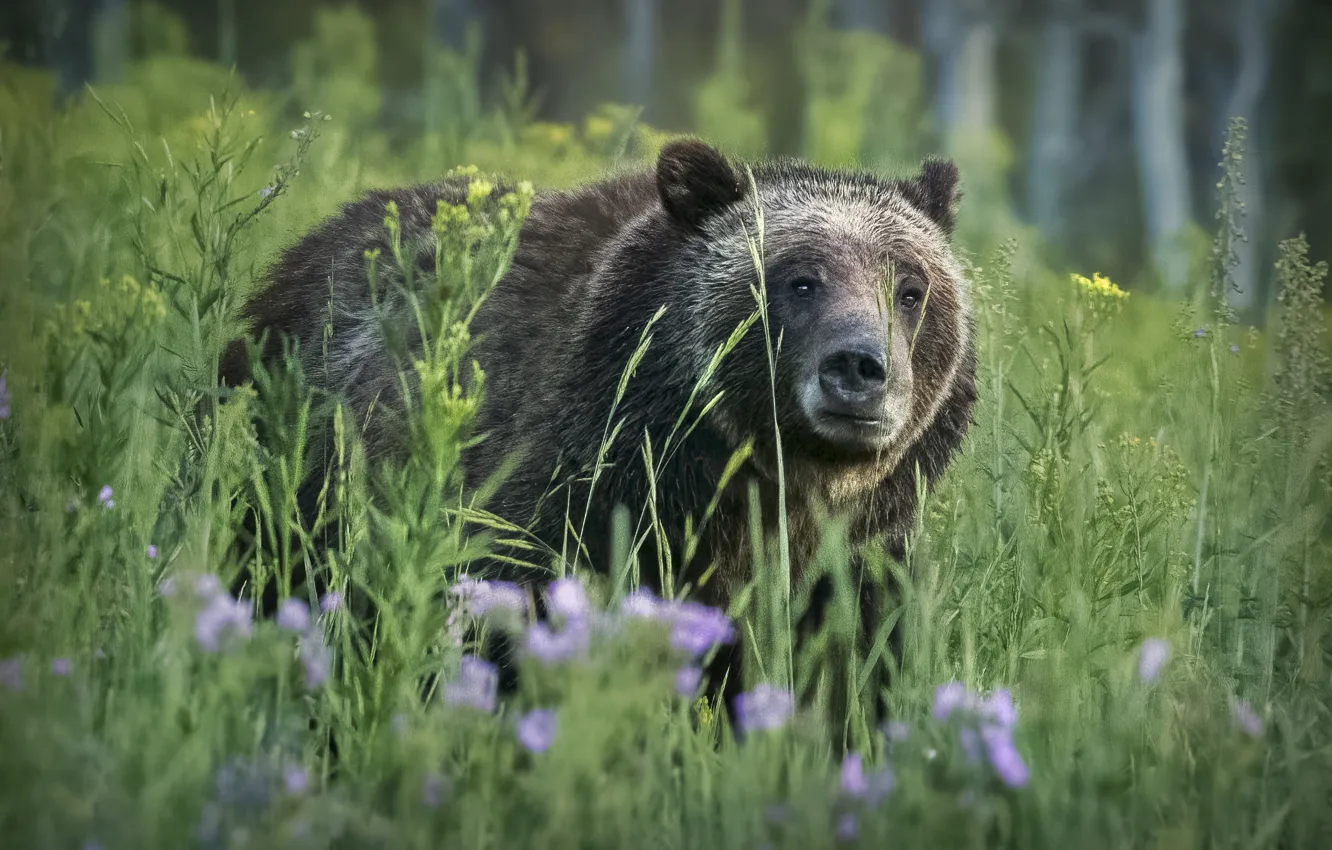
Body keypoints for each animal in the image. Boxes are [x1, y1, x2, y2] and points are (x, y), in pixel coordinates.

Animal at [219, 138, 977, 727]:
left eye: (911, 289)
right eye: (799, 280)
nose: (860, 367)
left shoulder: (857, 559)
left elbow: (852, 674)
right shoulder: (571, 502)